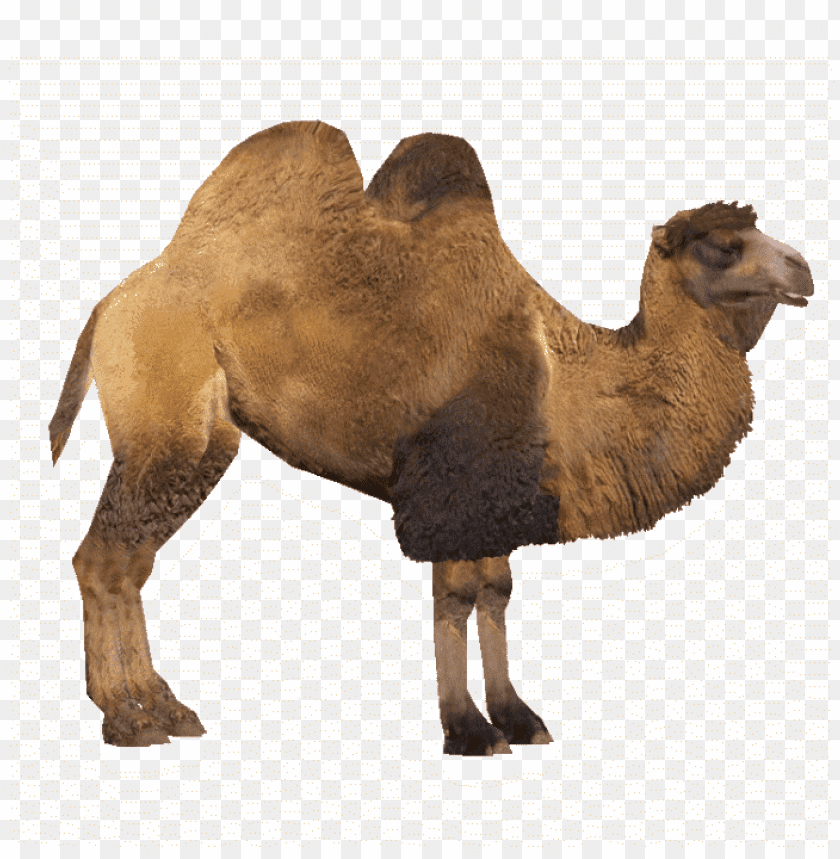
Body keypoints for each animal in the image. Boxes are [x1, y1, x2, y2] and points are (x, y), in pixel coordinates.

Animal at [49, 121, 814, 753]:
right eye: (723, 247)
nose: (804, 268)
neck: (566, 381)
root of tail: (111, 304)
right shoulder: (448, 486)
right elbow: (456, 599)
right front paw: (468, 730)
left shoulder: (499, 497)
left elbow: (496, 592)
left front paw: (518, 718)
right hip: (169, 432)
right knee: (102, 559)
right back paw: (126, 719)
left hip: (192, 444)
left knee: (130, 562)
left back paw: (164, 709)